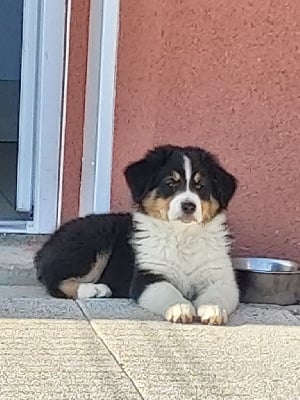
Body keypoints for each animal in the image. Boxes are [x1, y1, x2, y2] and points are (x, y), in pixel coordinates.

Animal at [35, 145, 238, 324]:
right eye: (170, 183)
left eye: (201, 186)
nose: (189, 206)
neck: (182, 236)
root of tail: (49, 242)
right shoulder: (148, 276)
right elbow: (169, 291)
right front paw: (180, 308)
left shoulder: (221, 277)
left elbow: (217, 295)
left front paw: (213, 310)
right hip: (92, 245)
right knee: (55, 282)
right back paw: (95, 289)